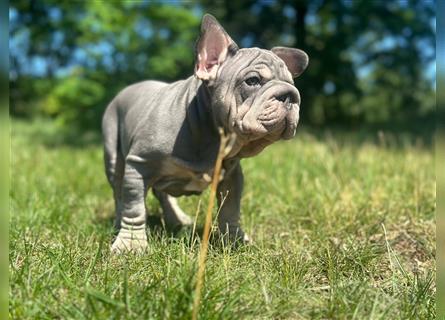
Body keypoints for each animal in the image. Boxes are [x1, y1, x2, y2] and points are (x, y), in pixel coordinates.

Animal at [102, 13, 306, 252]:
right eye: (253, 81)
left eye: (291, 83)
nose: (290, 95)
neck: (207, 129)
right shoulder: (139, 164)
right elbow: (134, 208)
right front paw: (130, 245)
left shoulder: (232, 176)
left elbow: (230, 210)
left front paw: (235, 240)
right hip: (114, 154)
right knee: (119, 191)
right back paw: (119, 223)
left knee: (162, 193)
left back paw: (177, 219)